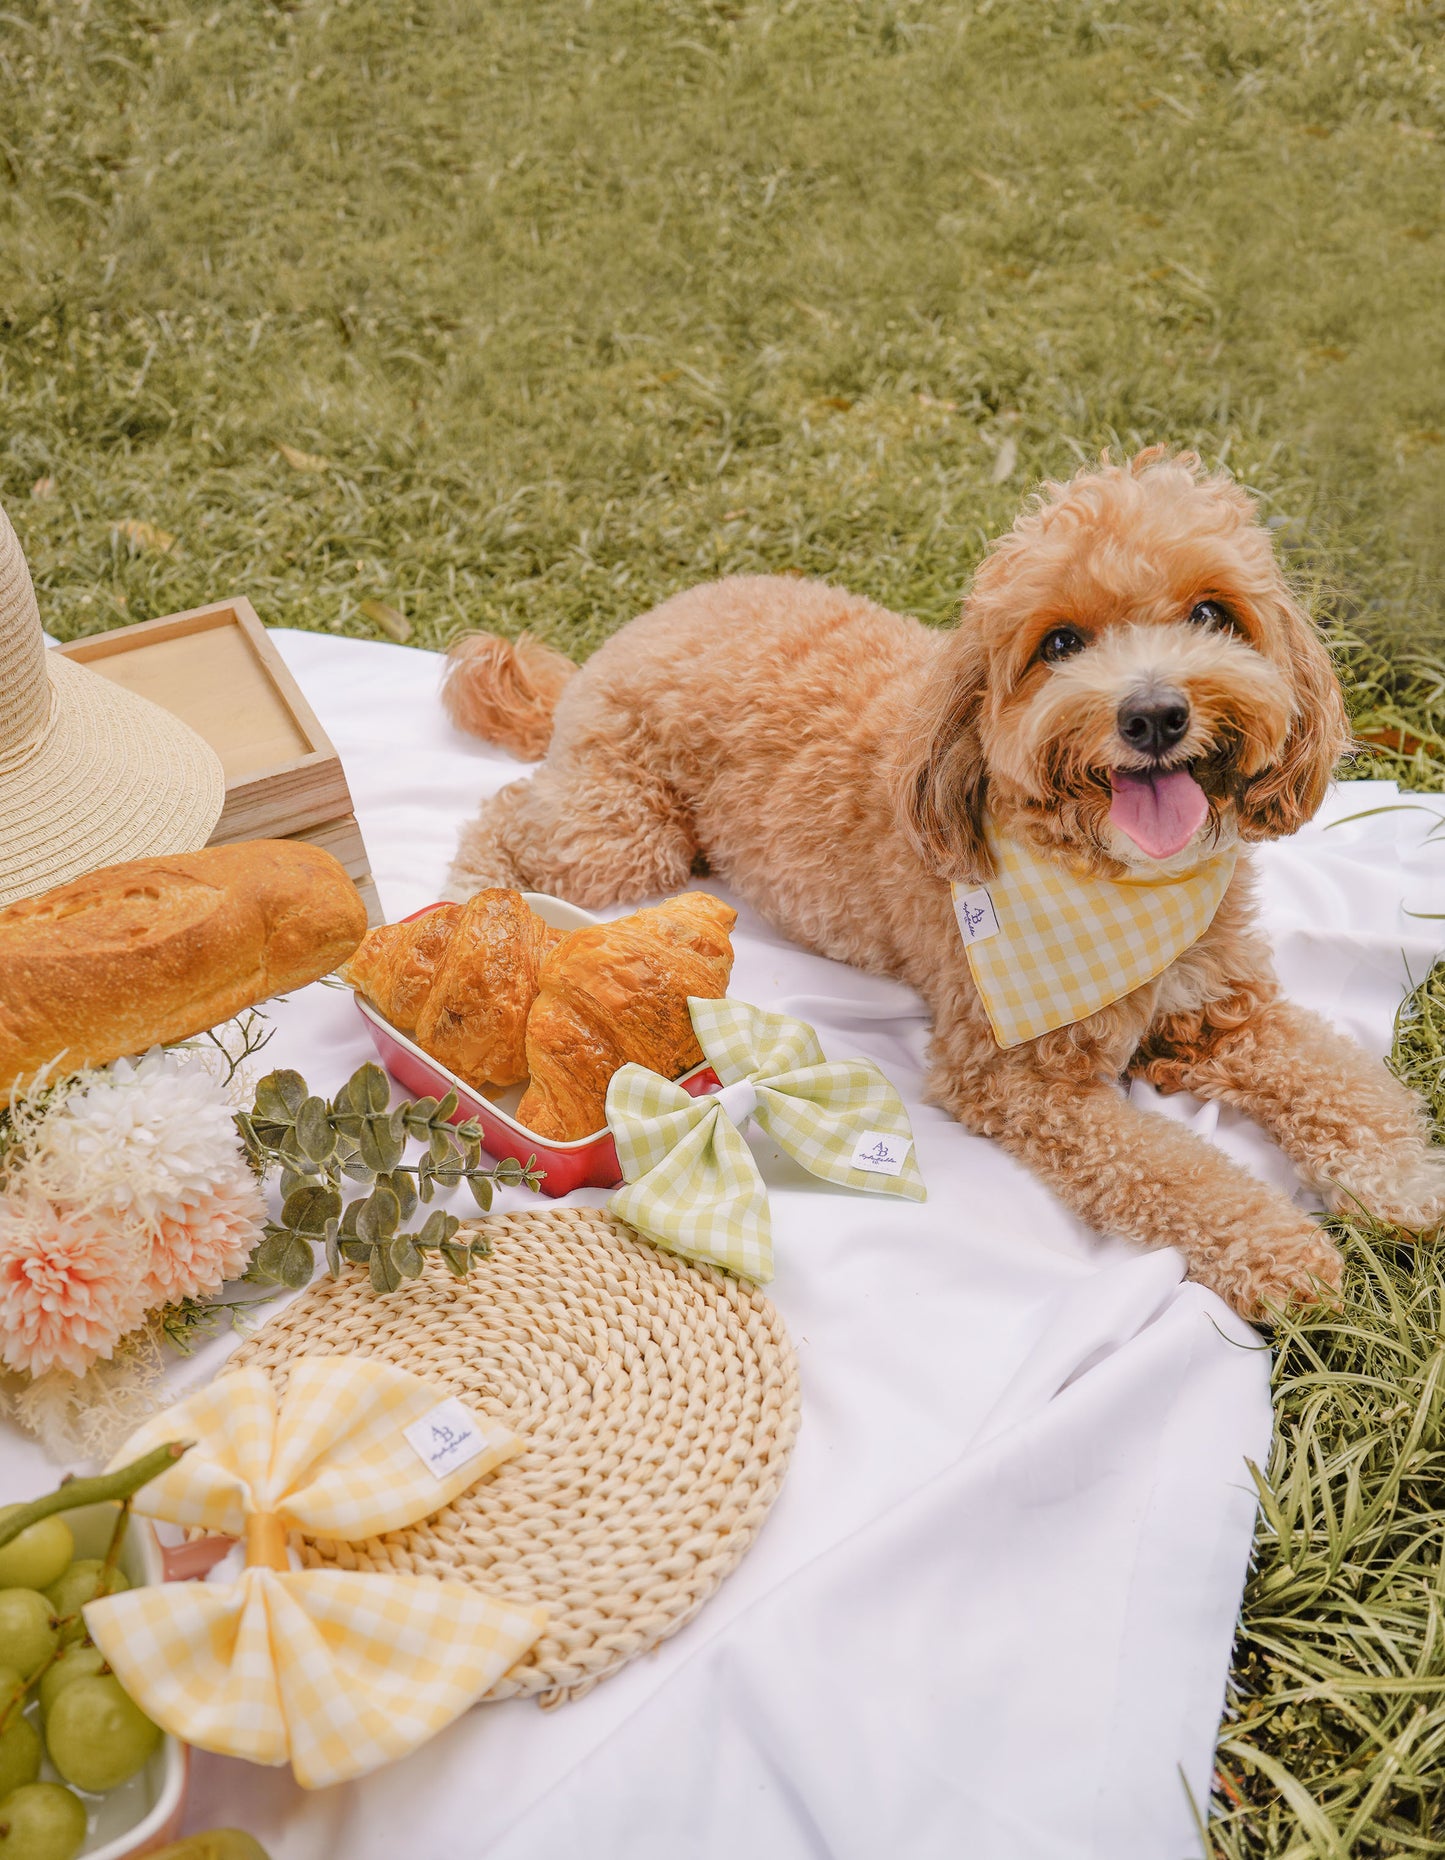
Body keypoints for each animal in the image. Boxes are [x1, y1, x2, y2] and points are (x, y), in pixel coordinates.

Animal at [444, 450, 1435, 1324]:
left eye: (1211, 613)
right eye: (1059, 642)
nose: (1152, 715)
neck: (1119, 882)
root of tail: (630, 631)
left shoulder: (1225, 1008)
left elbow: (1343, 1081)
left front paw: (1403, 1177)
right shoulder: (1017, 1077)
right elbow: (1171, 1169)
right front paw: (1284, 1250)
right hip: (624, 836)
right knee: (508, 810)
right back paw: (475, 903)